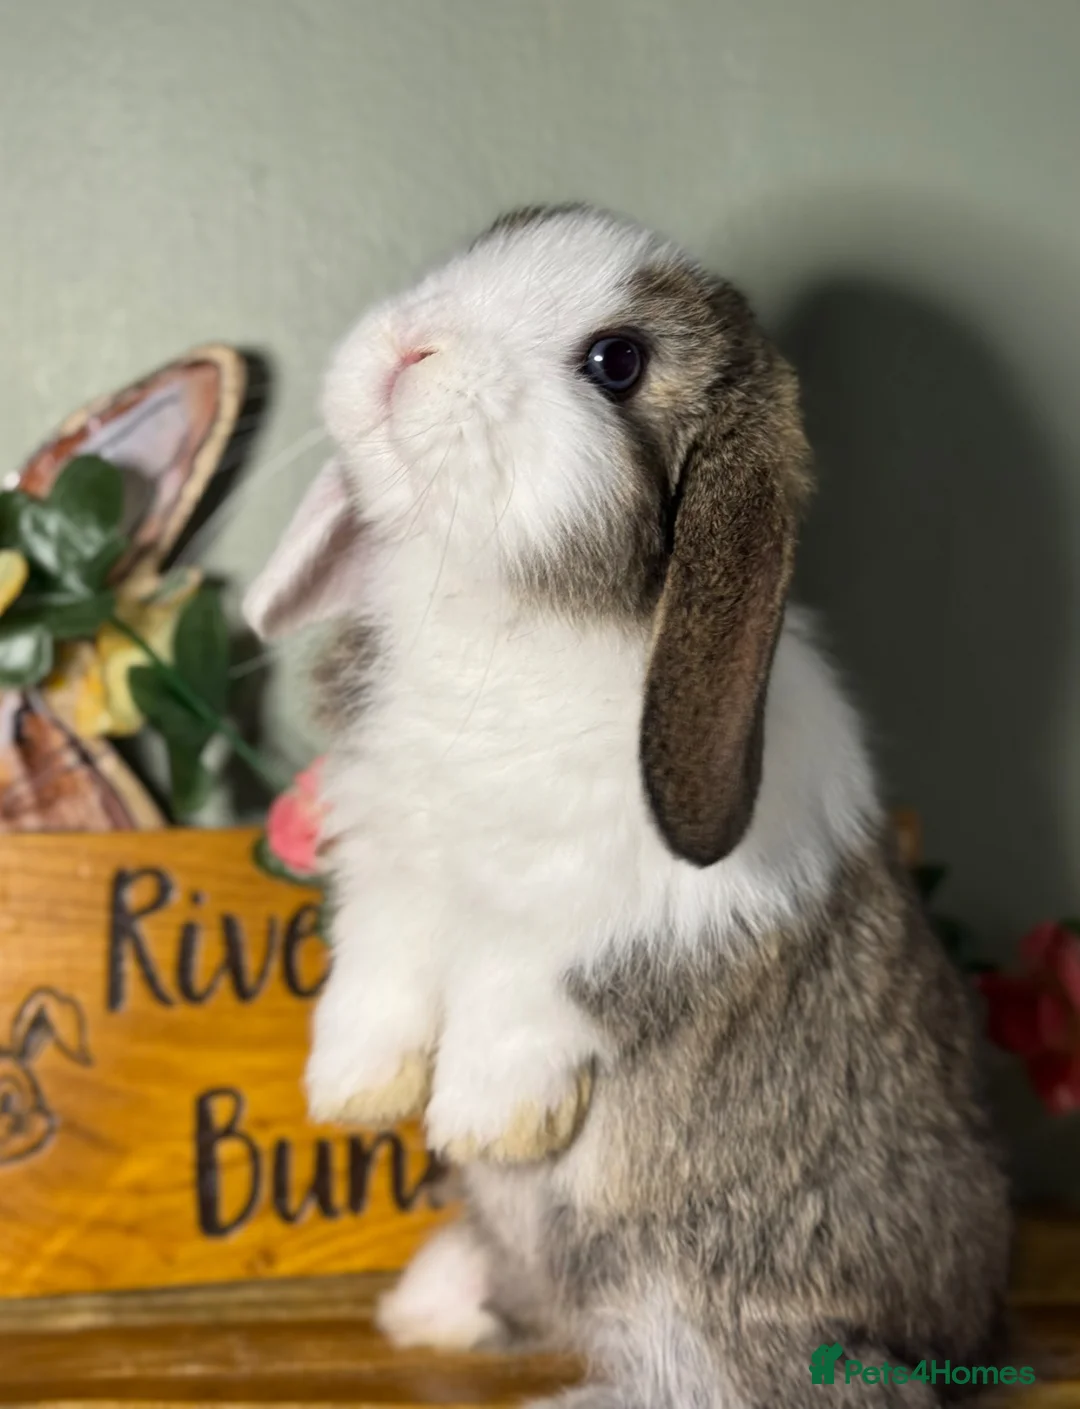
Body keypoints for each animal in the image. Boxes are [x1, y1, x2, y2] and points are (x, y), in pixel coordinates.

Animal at [244, 203, 1011, 1408]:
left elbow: (520, 994)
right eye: (493, 237)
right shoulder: (391, 869)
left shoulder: (596, 922)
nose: (410, 345)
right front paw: (353, 1091)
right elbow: (382, 980)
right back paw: (435, 1304)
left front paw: (483, 1122)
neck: (500, 614)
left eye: (617, 362)